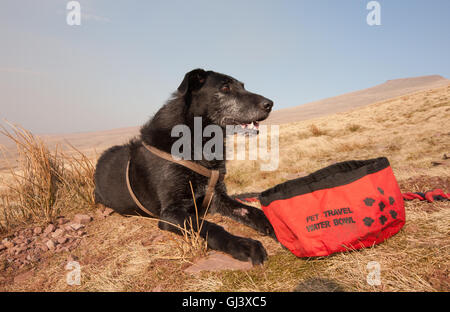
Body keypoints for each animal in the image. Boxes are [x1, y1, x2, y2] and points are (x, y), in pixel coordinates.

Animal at [96, 68, 274, 264]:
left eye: (243, 86)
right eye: (225, 88)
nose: (270, 104)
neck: (199, 141)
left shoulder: (218, 197)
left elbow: (252, 211)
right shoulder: (170, 213)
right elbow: (209, 227)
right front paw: (242, 244)